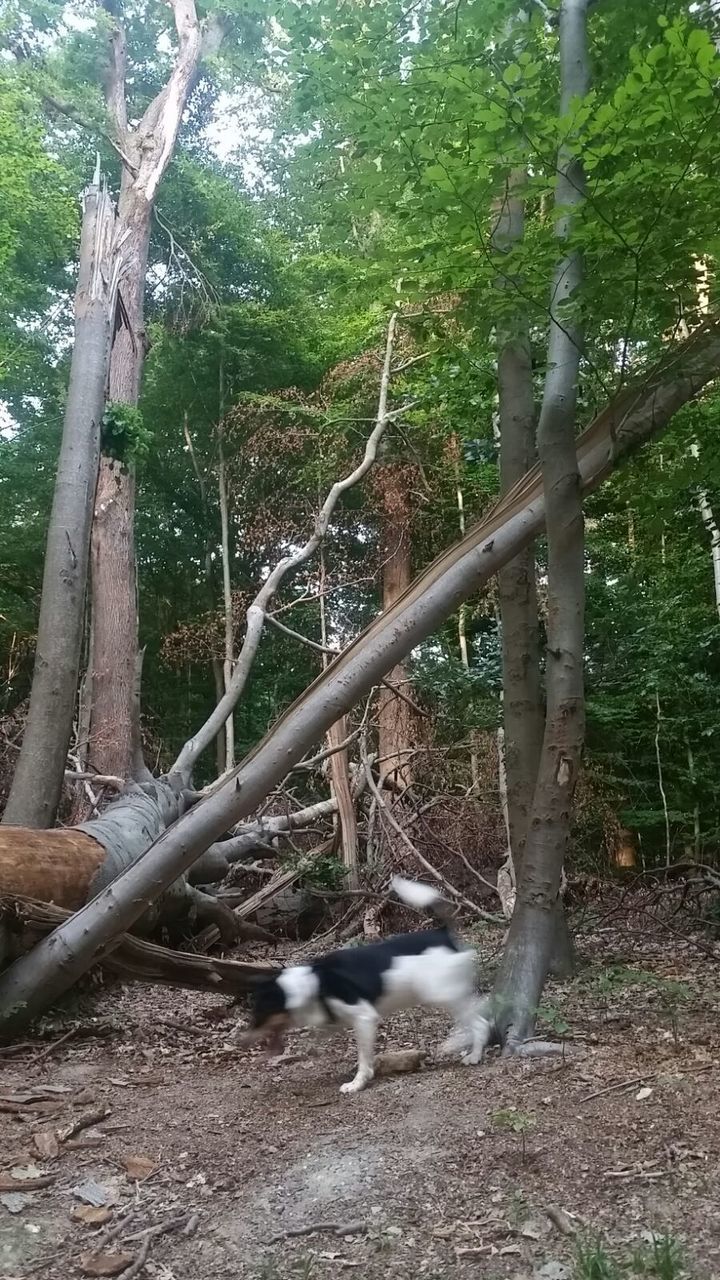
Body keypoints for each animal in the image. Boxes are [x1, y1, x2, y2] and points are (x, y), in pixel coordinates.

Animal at [244, 880, 486, 1090]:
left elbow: (363, 1058)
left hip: (440, 994)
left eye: (260, 1012)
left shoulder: (364, 1018)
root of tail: (442, 933)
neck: (316, 982)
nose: (242, 1041)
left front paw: (357, 1083)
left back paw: (474, 1055)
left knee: (480, 1021)